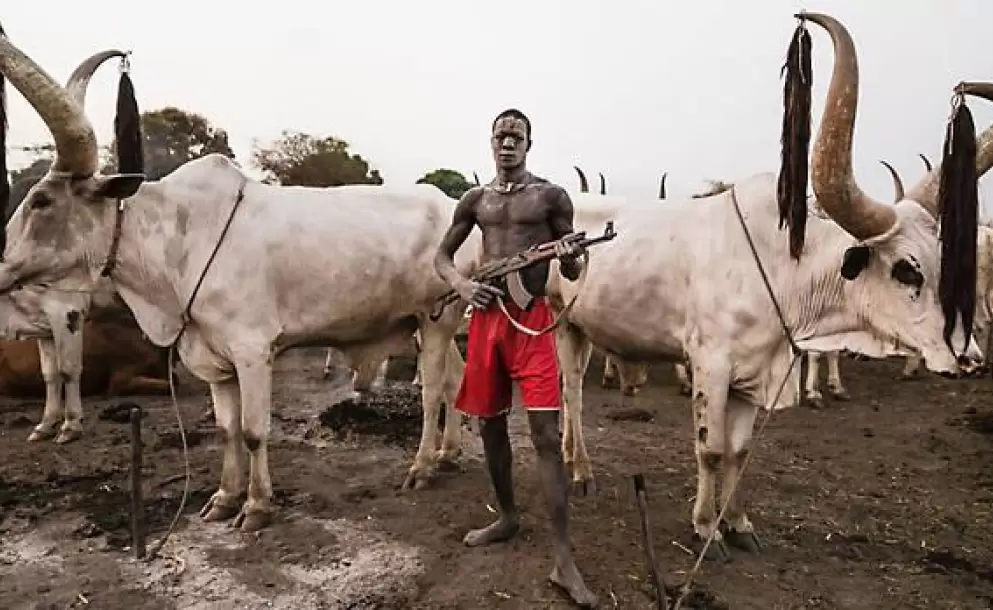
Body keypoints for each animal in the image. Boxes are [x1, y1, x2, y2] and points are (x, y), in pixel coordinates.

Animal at [0, 38, 480, 528]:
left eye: (41, 201)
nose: (1, 264)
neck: (180, 240)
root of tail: (453, 206)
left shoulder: (252, 351)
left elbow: (252, 431)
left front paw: (256, 506)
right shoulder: (214, 358)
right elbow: (226, 429)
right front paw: (225, 497)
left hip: (437, 320)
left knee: (432, 392)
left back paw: (421, 467)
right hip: (431, 322)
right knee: (454, 380)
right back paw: (447, 454)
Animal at [544, 11, 992, 560]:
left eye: (946, 261)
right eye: (907, 269)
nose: (969, 358)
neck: (782, 269)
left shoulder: (753, 374)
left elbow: (739, 453)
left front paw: (737, 523)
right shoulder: (711, 366)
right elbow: (712, 450)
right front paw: (704, 529)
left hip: (583, 327)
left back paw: (573, 459)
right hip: (559, 322)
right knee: (572, 393)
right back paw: (581, 470)